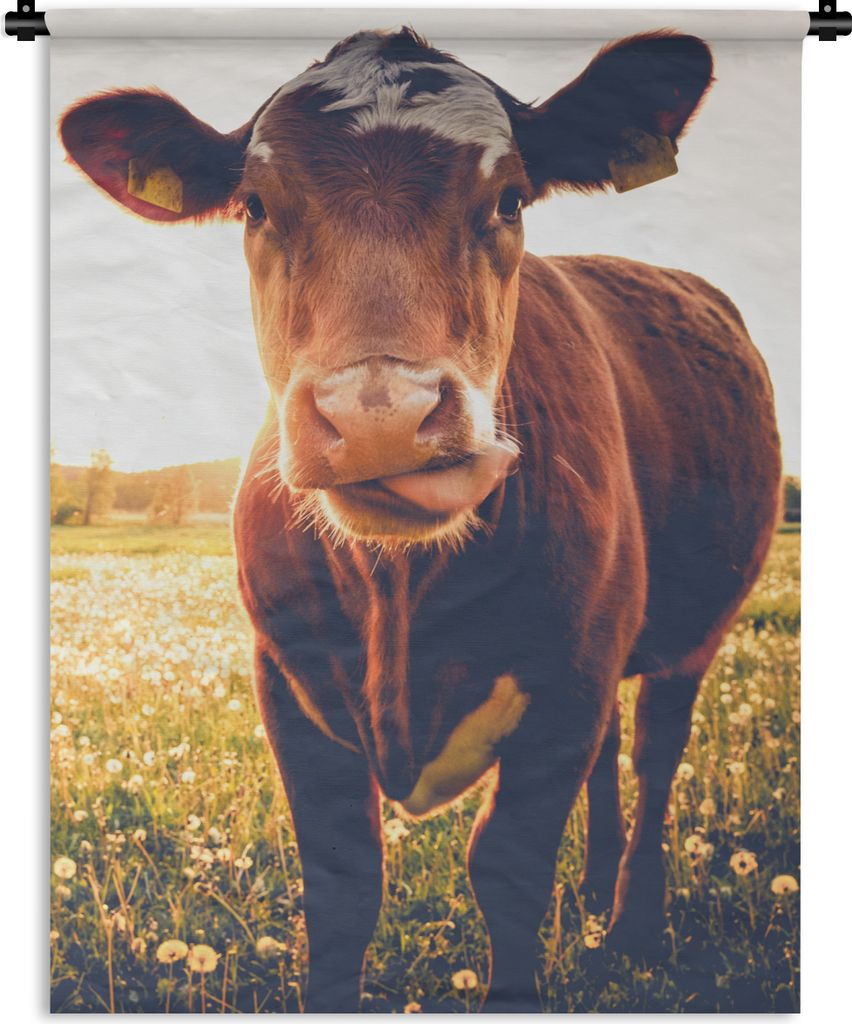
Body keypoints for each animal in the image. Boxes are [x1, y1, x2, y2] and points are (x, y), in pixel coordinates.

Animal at [59, 28, 781, 1012]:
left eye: (509, 197)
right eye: (255, 205)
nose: (380, 416)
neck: (400, 597)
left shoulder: (569, 680)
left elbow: (507, 870)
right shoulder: (285, 681)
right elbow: (342, 886)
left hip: (687, 636)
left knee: (654, 756)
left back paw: (631, 925)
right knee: (612, 760)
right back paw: (594, 891)